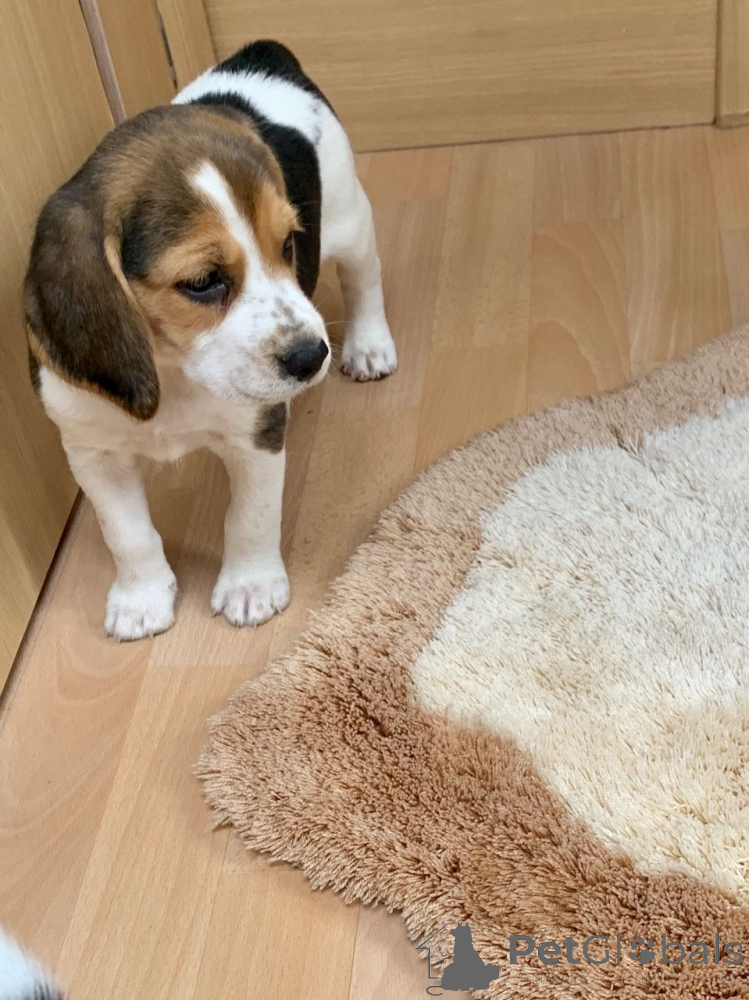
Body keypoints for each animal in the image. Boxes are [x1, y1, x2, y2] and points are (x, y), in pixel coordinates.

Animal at [24, 40, 397, 641]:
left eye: (289, 245)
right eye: (202, 282)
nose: (312, 356)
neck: (173, 371)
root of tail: (261, 54)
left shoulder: (258, 434)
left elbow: (250, 517)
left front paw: (250, 587)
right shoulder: (92, 451)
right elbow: (126, 534)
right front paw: (141, 598)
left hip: (348, 217)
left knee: (365, 276)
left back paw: (368, 345)